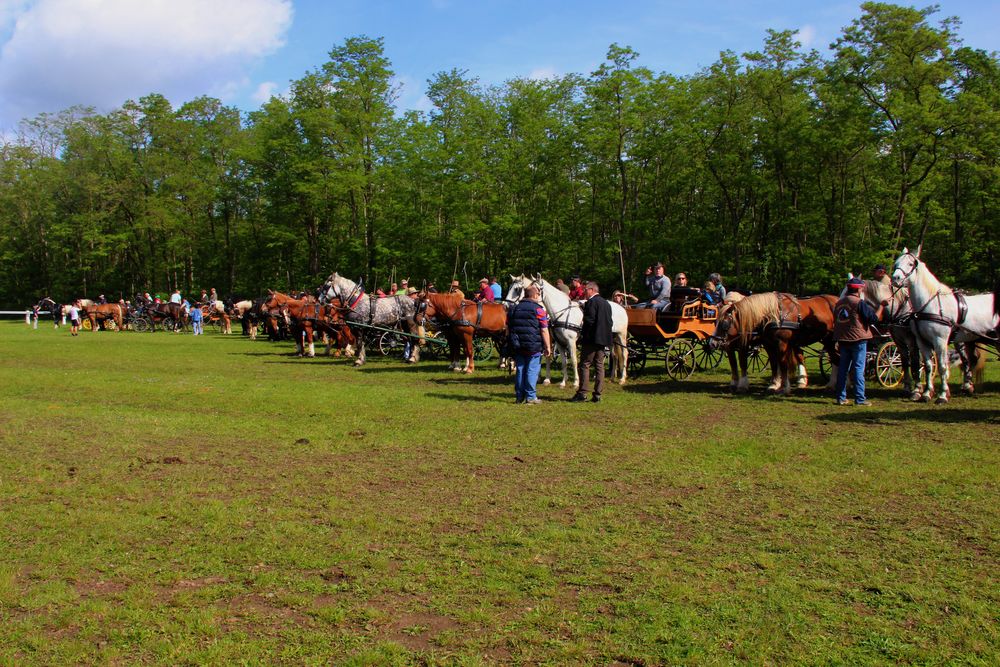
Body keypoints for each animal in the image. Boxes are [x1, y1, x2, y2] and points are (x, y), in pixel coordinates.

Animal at [896, 245, 996, 402]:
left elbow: (942, 366)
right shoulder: (922, 341)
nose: (895, 278)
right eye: (896, 263)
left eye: (910, 264)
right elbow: (928, 366)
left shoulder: (940, 340)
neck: (929, 305)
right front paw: (926, 393)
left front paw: (942, 395)